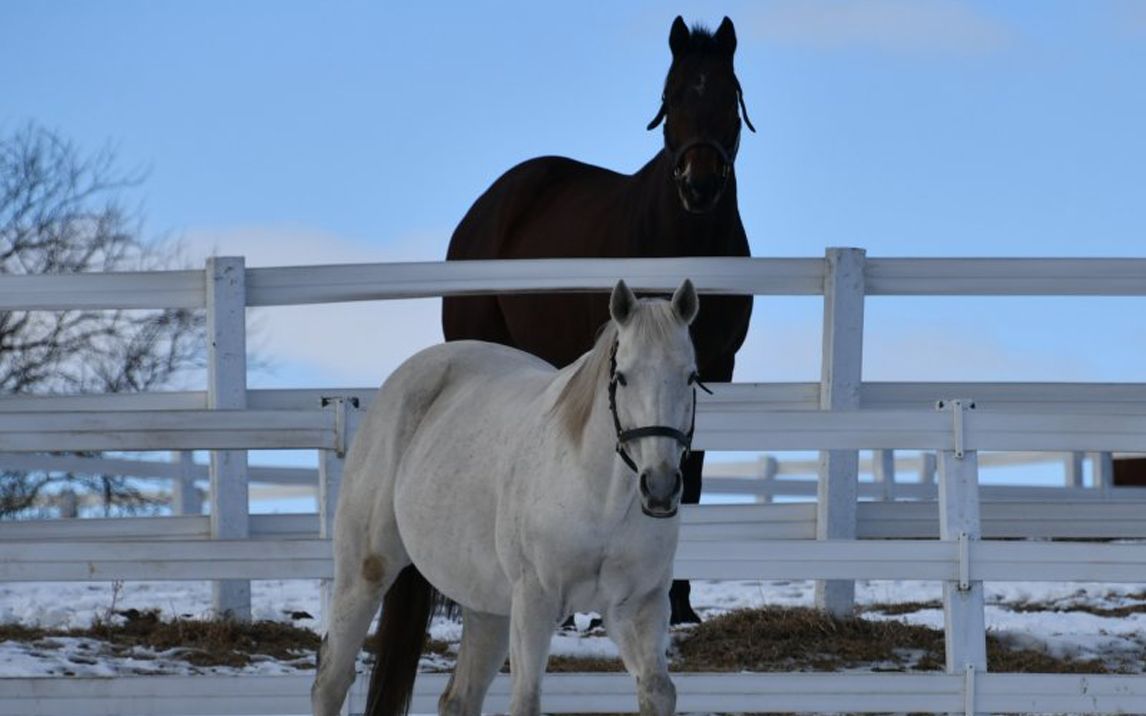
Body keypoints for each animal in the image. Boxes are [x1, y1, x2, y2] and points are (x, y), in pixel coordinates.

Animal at [314, 279, 701, 714]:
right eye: (623, 377)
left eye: (690, 376)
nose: (660, 487)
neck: (602, 499)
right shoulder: (535, 604)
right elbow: (526, 701)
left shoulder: (638, 608)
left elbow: (658, 690)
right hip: (364, 575)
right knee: (331, 680)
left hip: (487, 606)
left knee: (459, 699)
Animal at [437, 15, 751, 618]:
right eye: (671, 97)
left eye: (730, 96)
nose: (698, 185)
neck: (685, 241)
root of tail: (485, 209)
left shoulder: (713, 367)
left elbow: (692, 471)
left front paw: (680, 602)